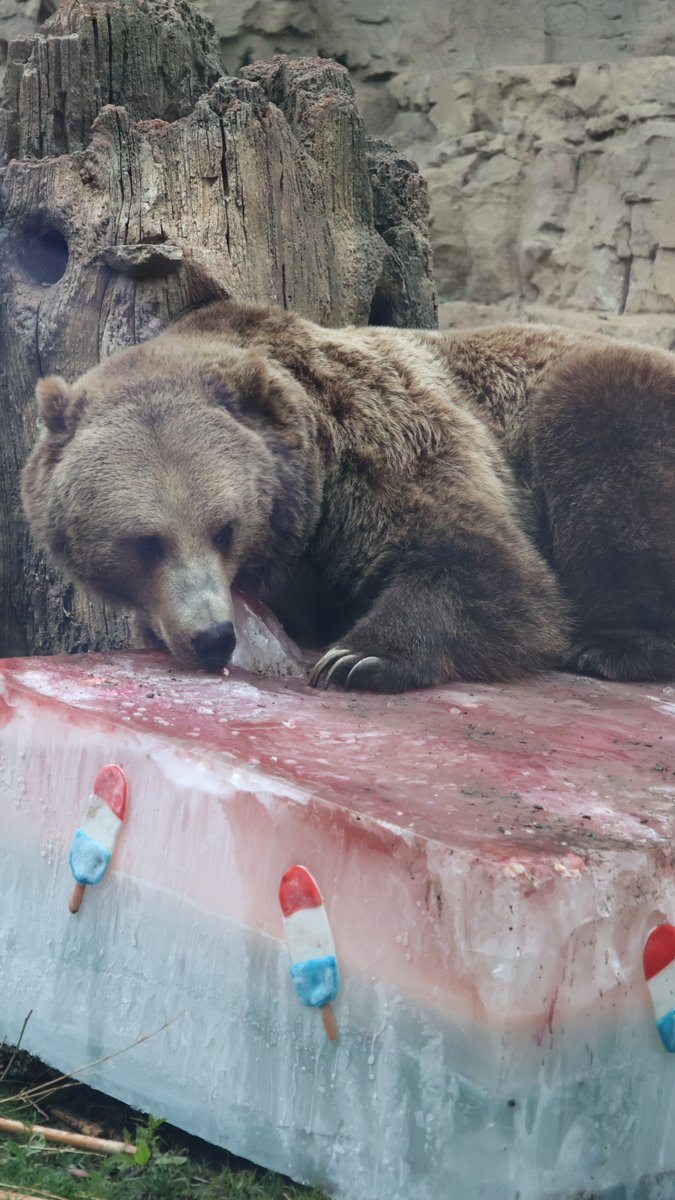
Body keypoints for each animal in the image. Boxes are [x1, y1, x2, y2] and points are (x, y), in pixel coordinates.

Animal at [21, 300, 675, 692]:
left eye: (224, 528)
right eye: (147, 543)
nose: (212, 636)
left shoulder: (383, 445)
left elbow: (484, 563)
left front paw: (359, 657)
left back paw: (608, 647)